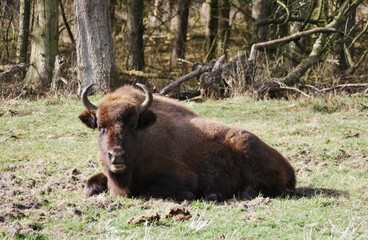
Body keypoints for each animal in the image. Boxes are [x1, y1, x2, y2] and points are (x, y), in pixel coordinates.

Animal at [78, 83, 296, 202]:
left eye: (133, 125)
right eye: (100, 126)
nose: (116, 156)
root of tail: (288, 165)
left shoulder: (183, 176)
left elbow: (149, 191)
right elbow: (90, 185)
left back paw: (219, 195)